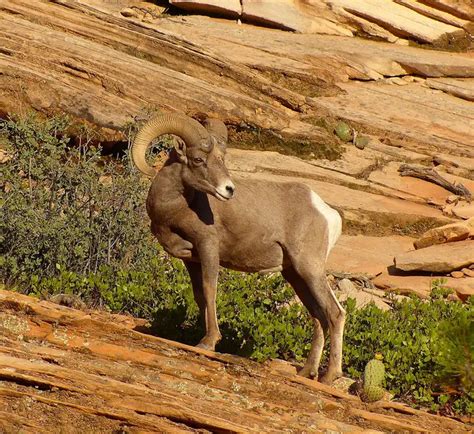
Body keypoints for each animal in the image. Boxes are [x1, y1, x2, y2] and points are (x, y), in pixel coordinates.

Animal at [132, 112, 344, 384]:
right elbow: (199, 296)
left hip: (310, 269)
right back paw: (307, 372)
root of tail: (326, 212)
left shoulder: (209, 248)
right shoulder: (191, 260)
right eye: (198, 159)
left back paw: (329, 377)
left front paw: (208, 342)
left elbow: (210, 290)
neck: (175, 210)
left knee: (335, 313)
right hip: (294, 275)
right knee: (318, 315)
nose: (228, 190)